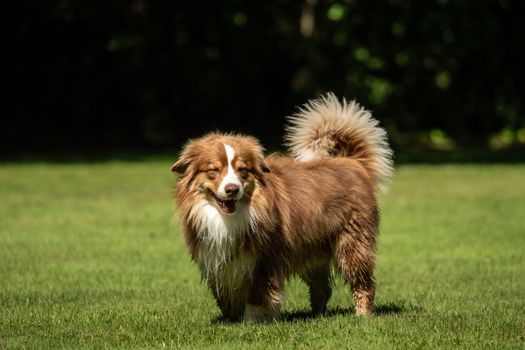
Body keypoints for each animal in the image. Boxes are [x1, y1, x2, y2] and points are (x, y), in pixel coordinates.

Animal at [172, 93, 392, 322]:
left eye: (242, 170)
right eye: (213, 170)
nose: (232, 189)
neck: (230, 216)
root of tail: (352, 162)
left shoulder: (264, 260)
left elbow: (257, 296)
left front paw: (252, 322)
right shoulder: (219, 263)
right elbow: (225, 299)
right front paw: (231, 319)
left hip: (352, 243)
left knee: (363, 282)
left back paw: (362, 314)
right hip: (311, 249)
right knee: (322, 288)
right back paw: (316, 315)